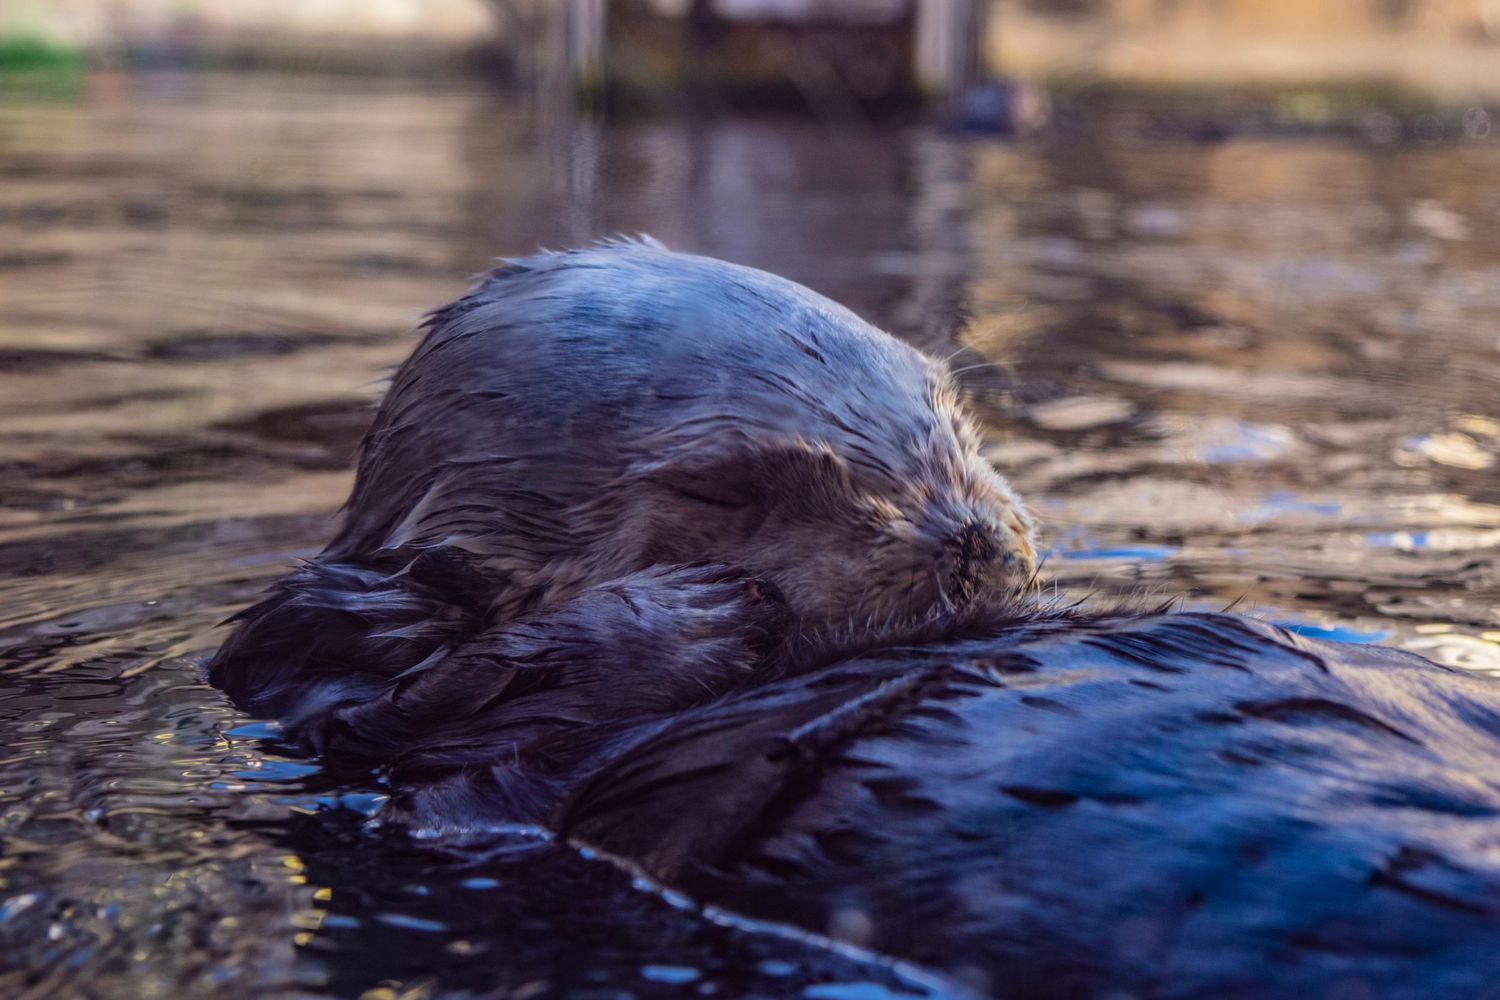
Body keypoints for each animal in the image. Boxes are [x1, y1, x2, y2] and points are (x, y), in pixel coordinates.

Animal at [208, 237, 1036, 777]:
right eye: (717, 491)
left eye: (958, 423)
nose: (971, 542)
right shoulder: (314, 655)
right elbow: (392, 717)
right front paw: (693, 617)